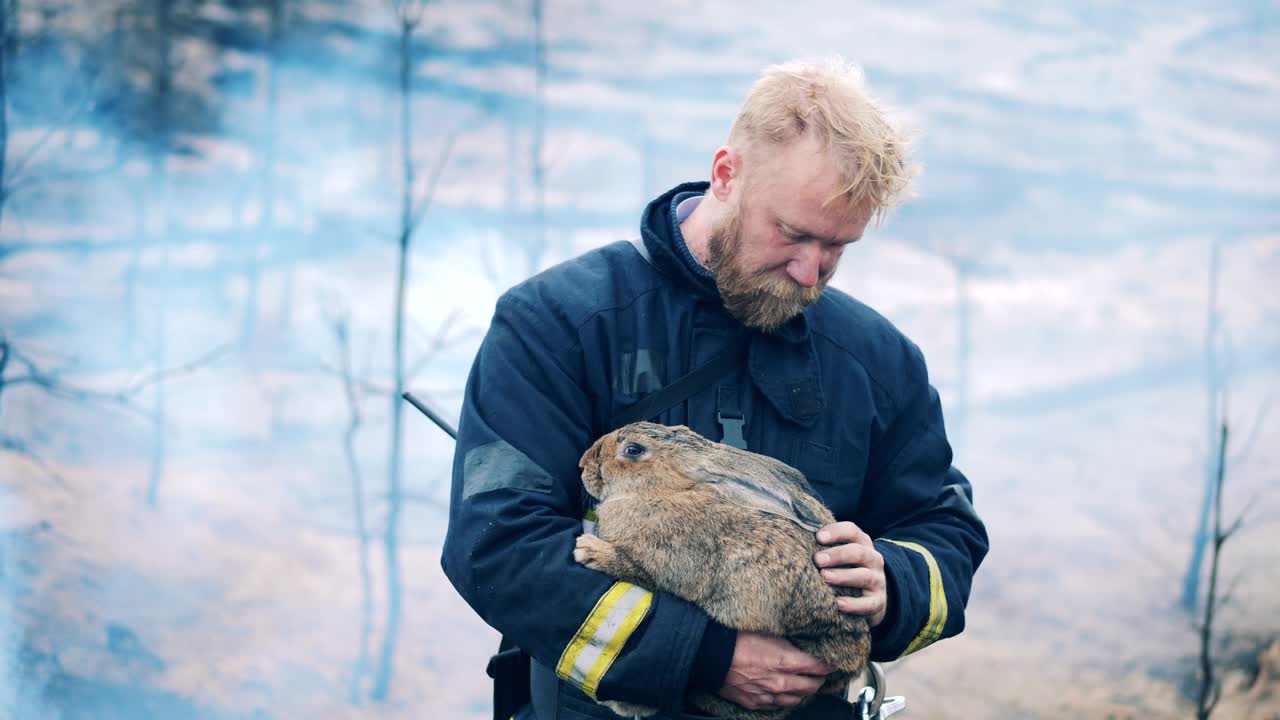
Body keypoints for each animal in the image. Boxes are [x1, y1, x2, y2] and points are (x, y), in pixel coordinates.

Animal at [574, 422, 870, 720]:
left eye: (633, 450)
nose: (583, 464)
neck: (662, 491)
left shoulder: (668, 569)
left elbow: (633, 568)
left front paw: (588, 550)